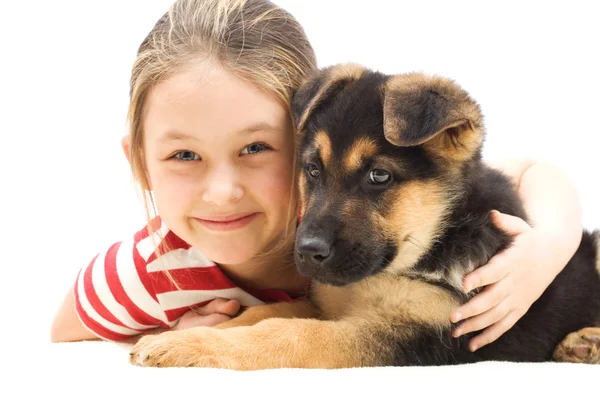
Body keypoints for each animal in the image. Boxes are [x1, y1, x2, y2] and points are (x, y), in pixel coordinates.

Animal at [130, 64, 600, 368]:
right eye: (312, 170)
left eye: (379, 176)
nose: (306, 252)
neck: (432, 243)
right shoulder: (326, 303)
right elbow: (262, 314)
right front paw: (181, 336)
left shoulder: (416, 332)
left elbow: (290, 333)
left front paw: (194, 347)